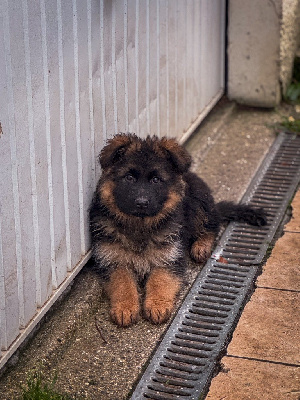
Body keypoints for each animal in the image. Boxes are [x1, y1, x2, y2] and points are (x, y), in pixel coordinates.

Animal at [88, 133, 264, 326]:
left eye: (156, 180)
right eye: (129, 178)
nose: (141, 203)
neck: (140, 225)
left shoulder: (169, 256)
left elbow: (161, 278)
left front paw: (157, 305)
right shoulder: (112, 259)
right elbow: (122, 281)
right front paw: (125, 307)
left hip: (198, 202)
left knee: (211, 225)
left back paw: (201, 247)